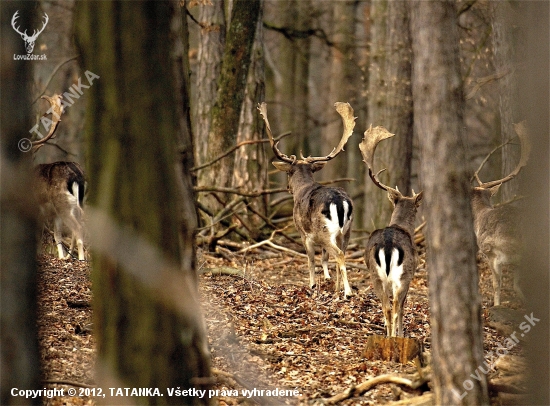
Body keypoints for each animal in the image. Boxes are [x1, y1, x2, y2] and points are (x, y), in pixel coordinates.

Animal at [33, 93, 86, 260]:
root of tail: (76, 175)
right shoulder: (53, 214)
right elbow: (57, 235)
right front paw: (61, 257)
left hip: (63, 203)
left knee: (78, 227)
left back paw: (81, 258)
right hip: (80, 202)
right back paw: (70, 257)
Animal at [360, 126, 424, 336]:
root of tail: (388, 246)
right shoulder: (411, 275)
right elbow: (403, 308)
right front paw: (402, 334)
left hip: (375, 275)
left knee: (386, 307)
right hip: (402, 276)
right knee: (395, 306)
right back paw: (395, 336)